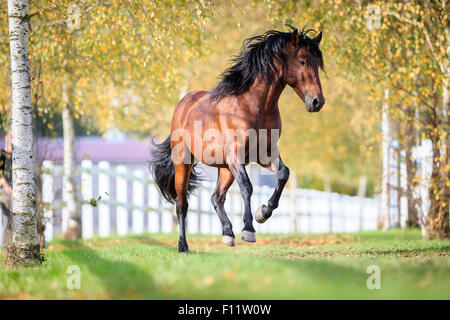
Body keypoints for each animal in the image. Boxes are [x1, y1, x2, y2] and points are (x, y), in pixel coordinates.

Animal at [150, 25, 324, 252]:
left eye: (318, 64)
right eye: (302, 60)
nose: (317, 102)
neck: (254, 106)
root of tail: (183, 104)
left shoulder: (265, 155)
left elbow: (283, 174)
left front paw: (263, 213)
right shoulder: (237, 157)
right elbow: (247, 186)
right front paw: (249, 229)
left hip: (224, 168)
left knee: (216, 197)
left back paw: (227, 234)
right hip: (184, 163)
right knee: (182, 205)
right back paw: (183, 246)